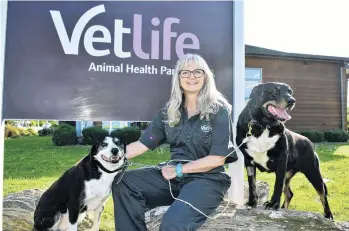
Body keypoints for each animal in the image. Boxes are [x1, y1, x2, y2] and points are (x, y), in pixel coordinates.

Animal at [237, 81, 332, 220]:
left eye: (290, 92)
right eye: (275, 91)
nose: (292, 101)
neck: (264, 125)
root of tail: (309, 142)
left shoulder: (281, 161)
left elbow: (277, 185)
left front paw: (273, 204)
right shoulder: (248, 161)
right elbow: (252, 184)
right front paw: (252, 202)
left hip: (313, 171)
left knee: (322, 194)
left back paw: (328, 215)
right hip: (290, 173)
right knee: (289, 193)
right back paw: (284, 208)